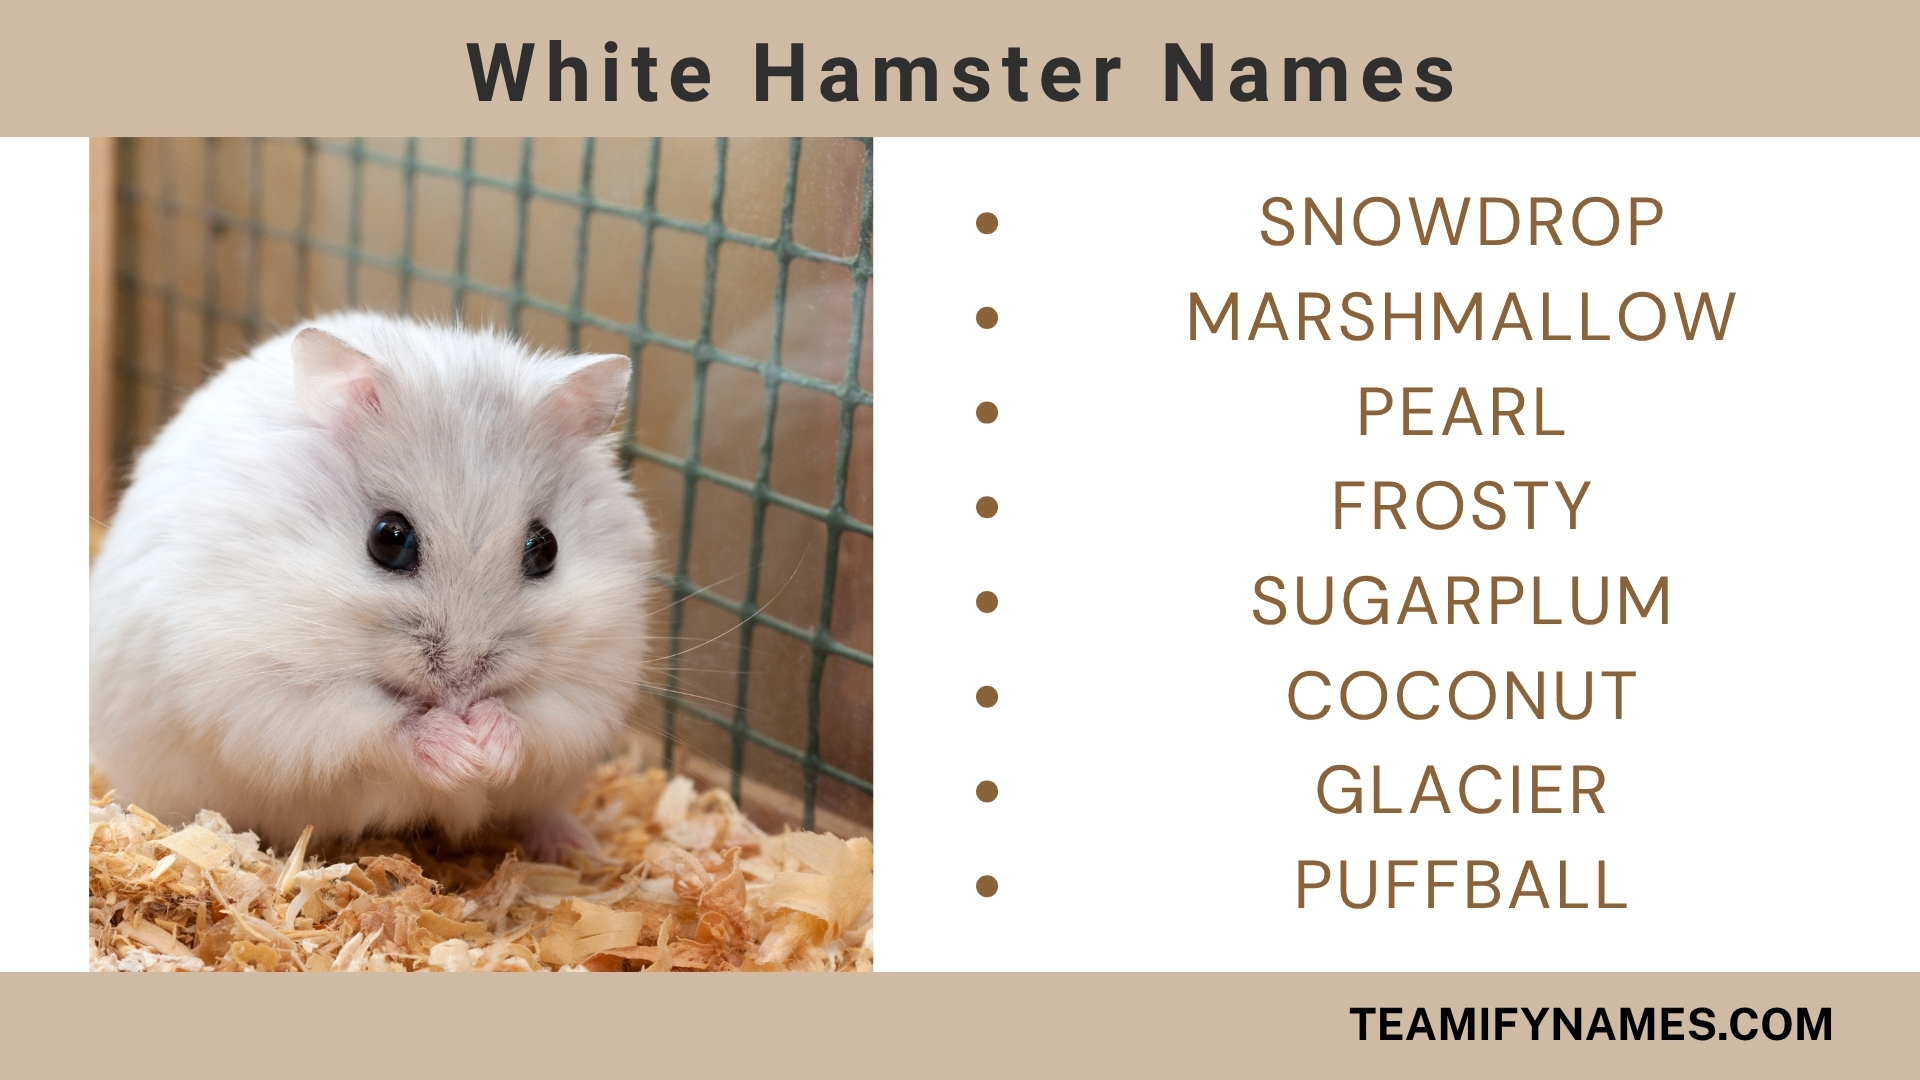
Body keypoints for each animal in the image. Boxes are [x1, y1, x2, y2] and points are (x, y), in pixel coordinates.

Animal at [90, 312, 658, 862]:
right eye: (389, 539)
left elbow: (536, 720)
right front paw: (459, 753)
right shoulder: (268, 692)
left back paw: (578, 850)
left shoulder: (592, 685)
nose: (462, 690)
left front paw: (487, 748)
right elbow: (378, 728)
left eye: (546, 549)